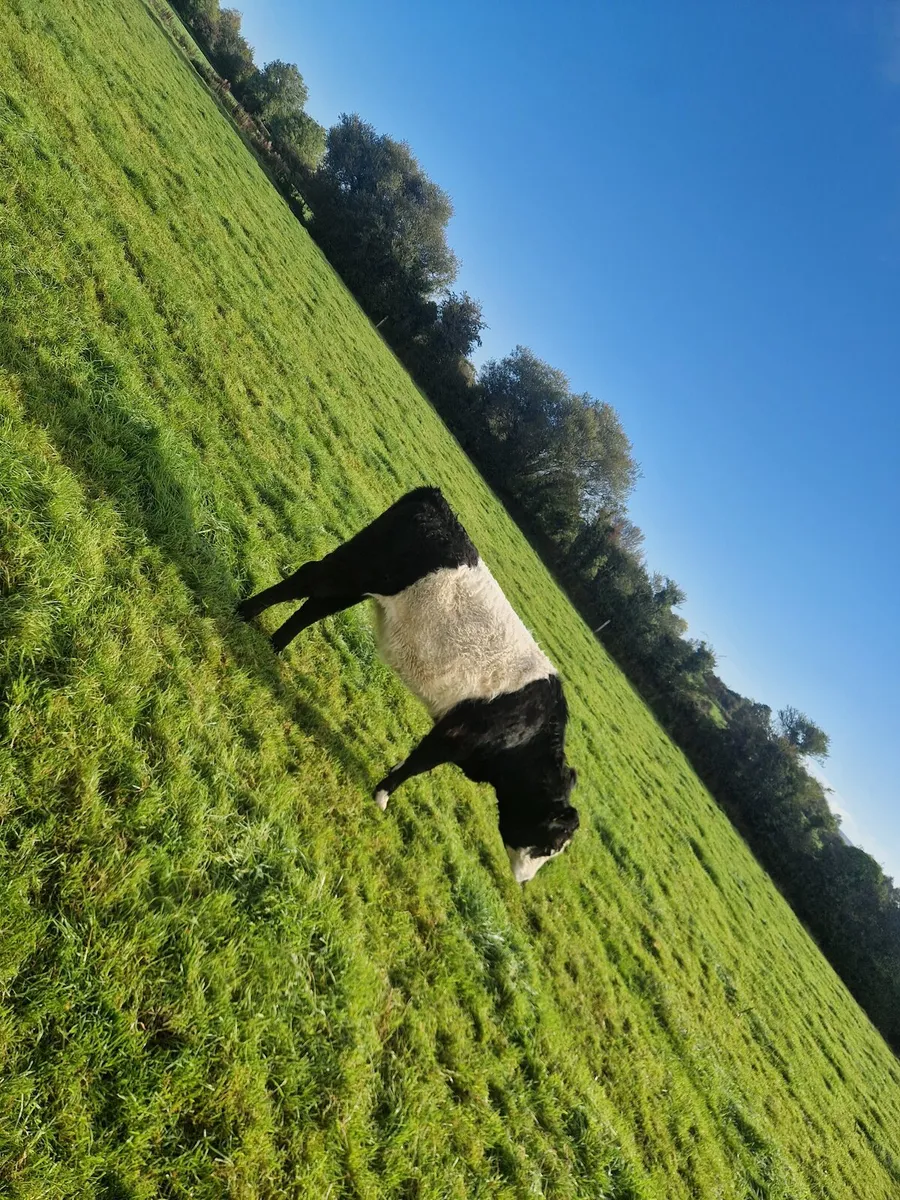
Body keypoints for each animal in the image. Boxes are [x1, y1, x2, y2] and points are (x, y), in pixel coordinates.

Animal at [237, 488, 579, 883]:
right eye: (551, 844)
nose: (524, 881)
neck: (526, 735)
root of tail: (434, 498)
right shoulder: (455, 736)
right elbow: (416, 765)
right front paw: (382, 796)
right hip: (353, 570)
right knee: (307, 580)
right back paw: (243, 612)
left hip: (358, 584)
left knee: (315, 607)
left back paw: (274, 645)